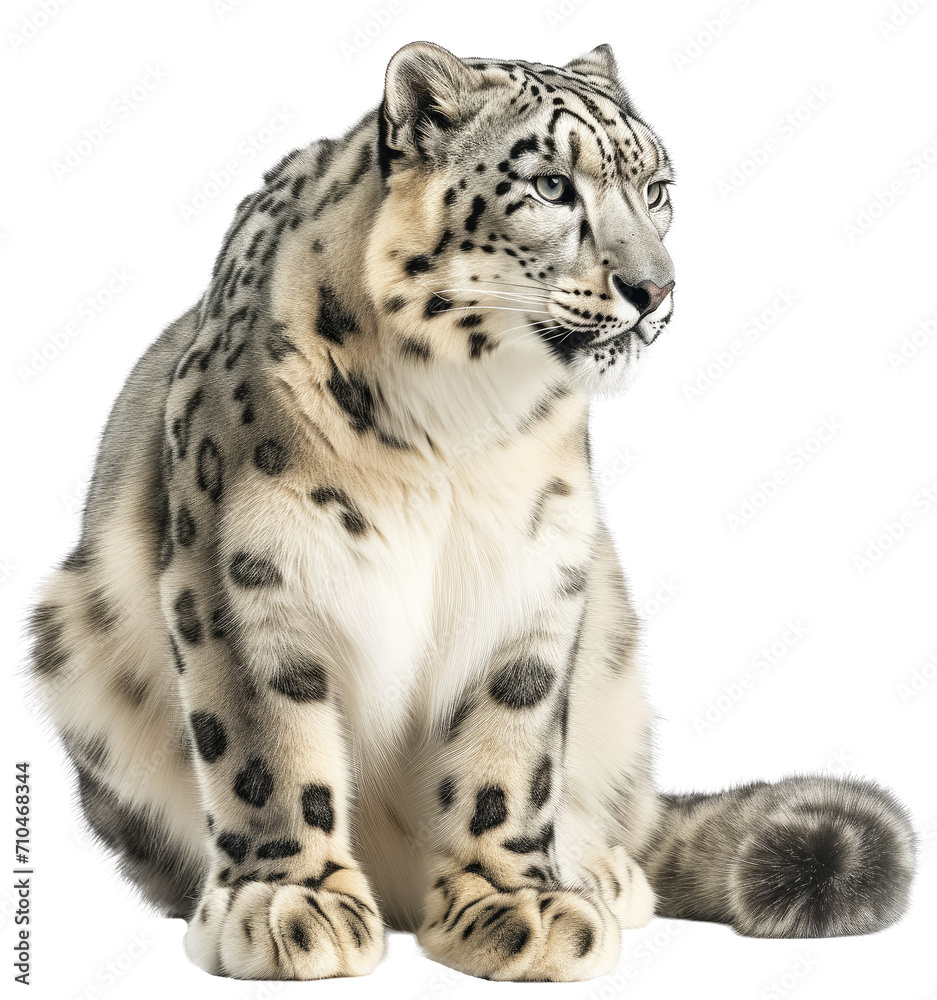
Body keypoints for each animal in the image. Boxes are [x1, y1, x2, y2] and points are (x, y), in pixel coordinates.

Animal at [26, 41, 916, 982]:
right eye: (553, 186)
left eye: (656, 190)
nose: (654, 289)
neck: (458, 424)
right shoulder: (246, 574)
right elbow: (266, 744)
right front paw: (291, 901)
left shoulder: (534, 578)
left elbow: (506, 758)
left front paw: (517, 903)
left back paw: (601, 869)